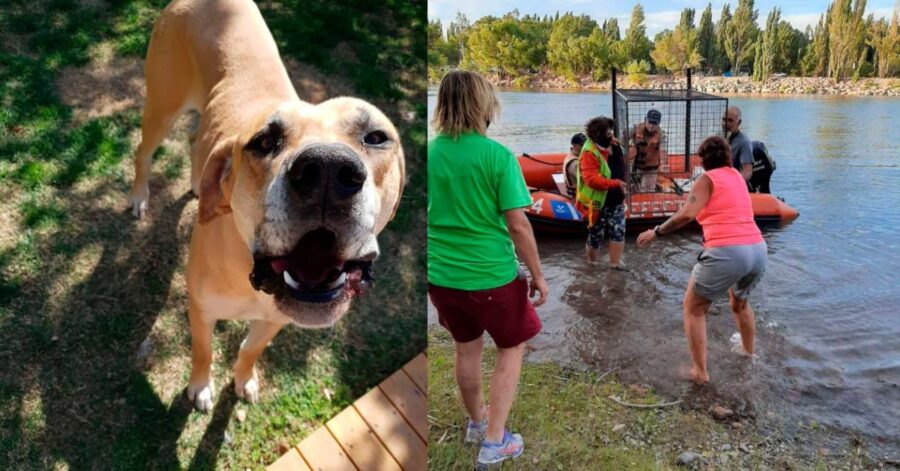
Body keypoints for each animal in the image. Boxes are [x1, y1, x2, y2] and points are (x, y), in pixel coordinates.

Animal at [126, 0, 404, 412]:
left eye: (376, 137)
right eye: (264, 141)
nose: (327, 171)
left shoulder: (274, 320)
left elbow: (249, 349)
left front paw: (244, 380)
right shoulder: (201, 310)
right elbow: (204, 351)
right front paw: (200, 387)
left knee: (193, 140)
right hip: (162, 106)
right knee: (143, 152)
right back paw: (139, 196)